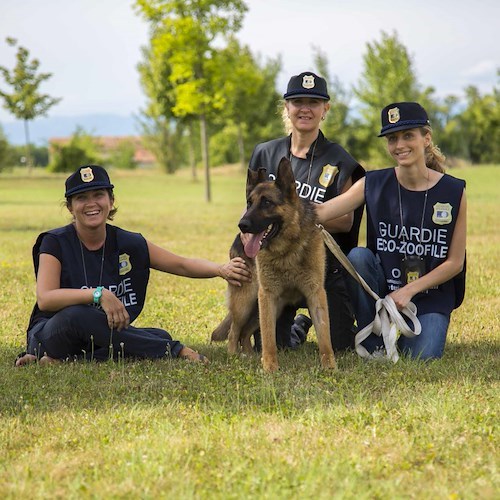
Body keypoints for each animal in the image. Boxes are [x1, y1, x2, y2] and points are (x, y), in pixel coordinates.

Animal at [211, 158, 336, 374]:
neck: (288, 250)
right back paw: (234, 356)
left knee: (245, 332)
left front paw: (330, 366)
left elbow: (325, 335)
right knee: (234, 331)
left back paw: (250, 356)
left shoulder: (316, 294)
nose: (242, 225)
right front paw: (270, 367)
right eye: (249, 203)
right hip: (246, 302)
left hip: (265, 308)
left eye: (267, 202)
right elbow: (268, 337)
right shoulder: (267, 296)